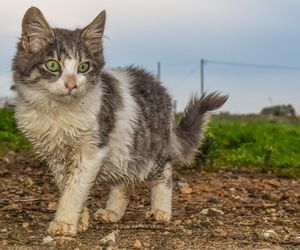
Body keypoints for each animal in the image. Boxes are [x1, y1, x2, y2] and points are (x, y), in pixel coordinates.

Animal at [11, 6, 227, 237]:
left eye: (83, 67)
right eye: (52, 65)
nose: (71, 85)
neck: (58, 112)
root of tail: (159, 86)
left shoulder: (92, 150)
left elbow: (75, 189)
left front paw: (64, 222)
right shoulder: (55, 156)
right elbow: (66, 186)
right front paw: (80, 219)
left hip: (152, 149)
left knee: (164, 175)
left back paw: (161, 210)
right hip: (126, 151)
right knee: (124, 182)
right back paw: (113, 212)